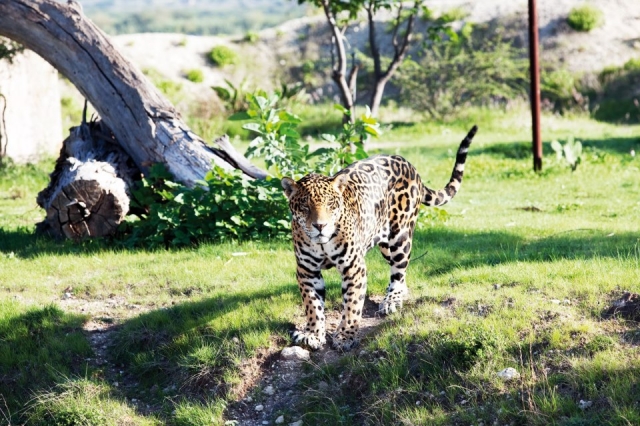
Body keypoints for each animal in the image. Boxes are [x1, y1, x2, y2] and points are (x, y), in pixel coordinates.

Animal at [281, 125, 477, 351]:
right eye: (305, 206)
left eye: (331, 204)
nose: (320, 226)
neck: (323, 244)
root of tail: (409, 165)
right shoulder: (307, 271)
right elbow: (312, 304)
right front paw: (313, 334)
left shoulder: (354, 268)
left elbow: (352, 304)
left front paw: (345, 335)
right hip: (385, 245)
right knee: (400, 271)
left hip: (400, 237)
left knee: (399, 271)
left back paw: (392, 300)